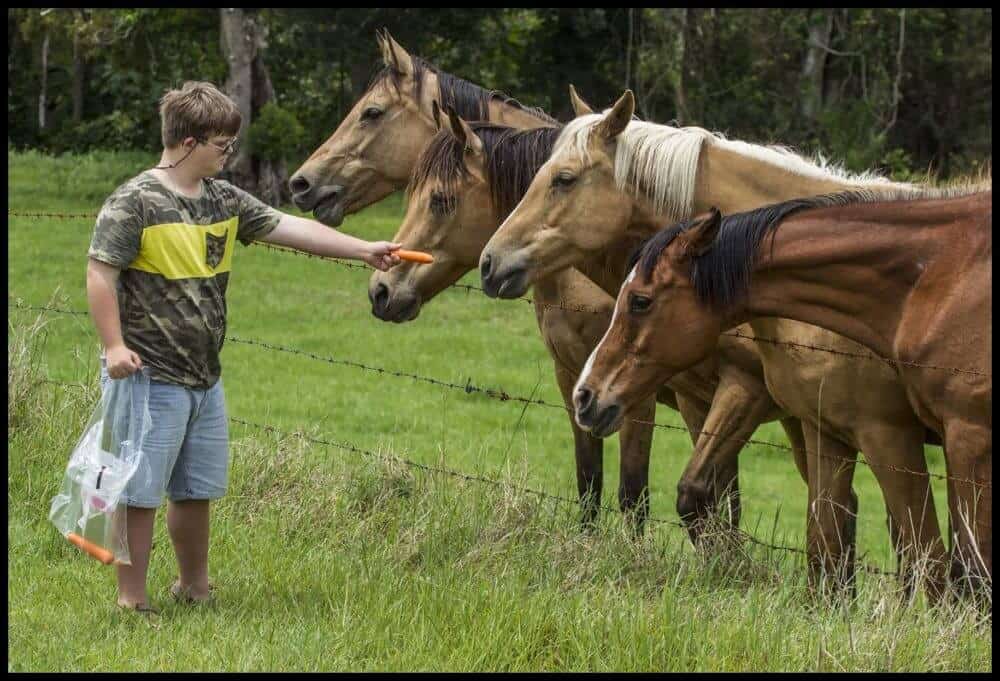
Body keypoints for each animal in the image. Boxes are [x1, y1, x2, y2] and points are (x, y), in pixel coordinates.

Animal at [575, 188, 991, 597]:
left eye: (639, 301)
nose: (585, 396)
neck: (938, 277)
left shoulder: (920, 438)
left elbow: (943, 566)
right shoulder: (828, 433)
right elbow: (827, 543)